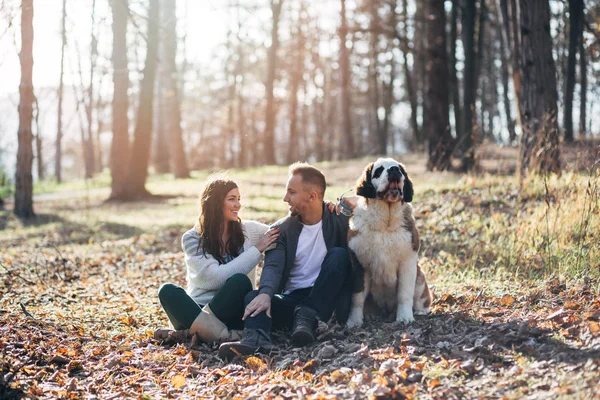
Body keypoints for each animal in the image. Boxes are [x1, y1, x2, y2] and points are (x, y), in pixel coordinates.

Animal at [346, 157, 432, 328]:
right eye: (379, 171)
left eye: (400, 169)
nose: (394, 170)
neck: (385, 222)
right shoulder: (359, 263)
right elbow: (357, 296)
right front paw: (354, 321)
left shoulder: (408, 262)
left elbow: (404, 294)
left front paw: (405, 317)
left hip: (420, 276)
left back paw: (420, 311)